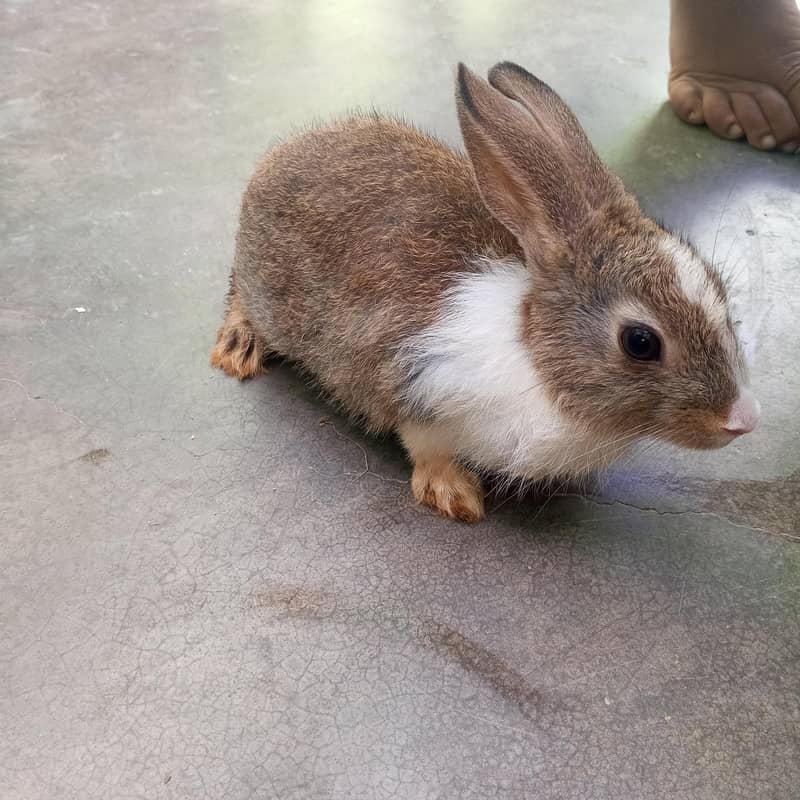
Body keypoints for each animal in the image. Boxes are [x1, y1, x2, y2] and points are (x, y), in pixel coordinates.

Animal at [211, 61, 760, 522]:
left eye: (718, 288)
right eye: (641, 342)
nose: (742, 420)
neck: (536, 358)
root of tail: (277, 158)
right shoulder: (413, 383)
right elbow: (424, 444)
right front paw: (454, 495)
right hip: (263, 289)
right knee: (240, 296)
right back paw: (238, 348)